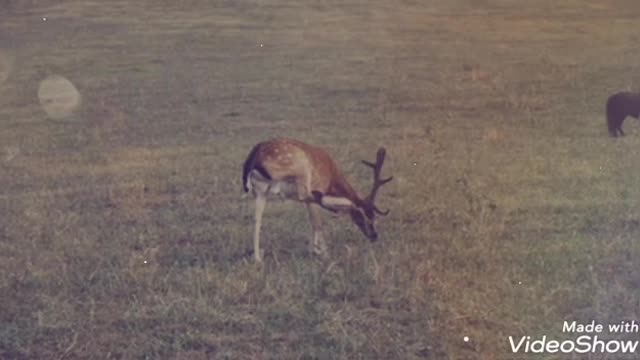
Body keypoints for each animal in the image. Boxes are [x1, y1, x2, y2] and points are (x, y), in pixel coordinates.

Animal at [241, 138, 392, 262]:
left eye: (374, 216)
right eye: (367, 217)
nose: (374, 236)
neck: (331, 179)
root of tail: (254, 157)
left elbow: (313, 221)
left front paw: (315, 249)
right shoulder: (316, 185)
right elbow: (317, 222)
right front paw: (322, 252)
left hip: (259, 190)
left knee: (257, 219)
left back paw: (257, 258)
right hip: (301, 168)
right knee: (308, 195)